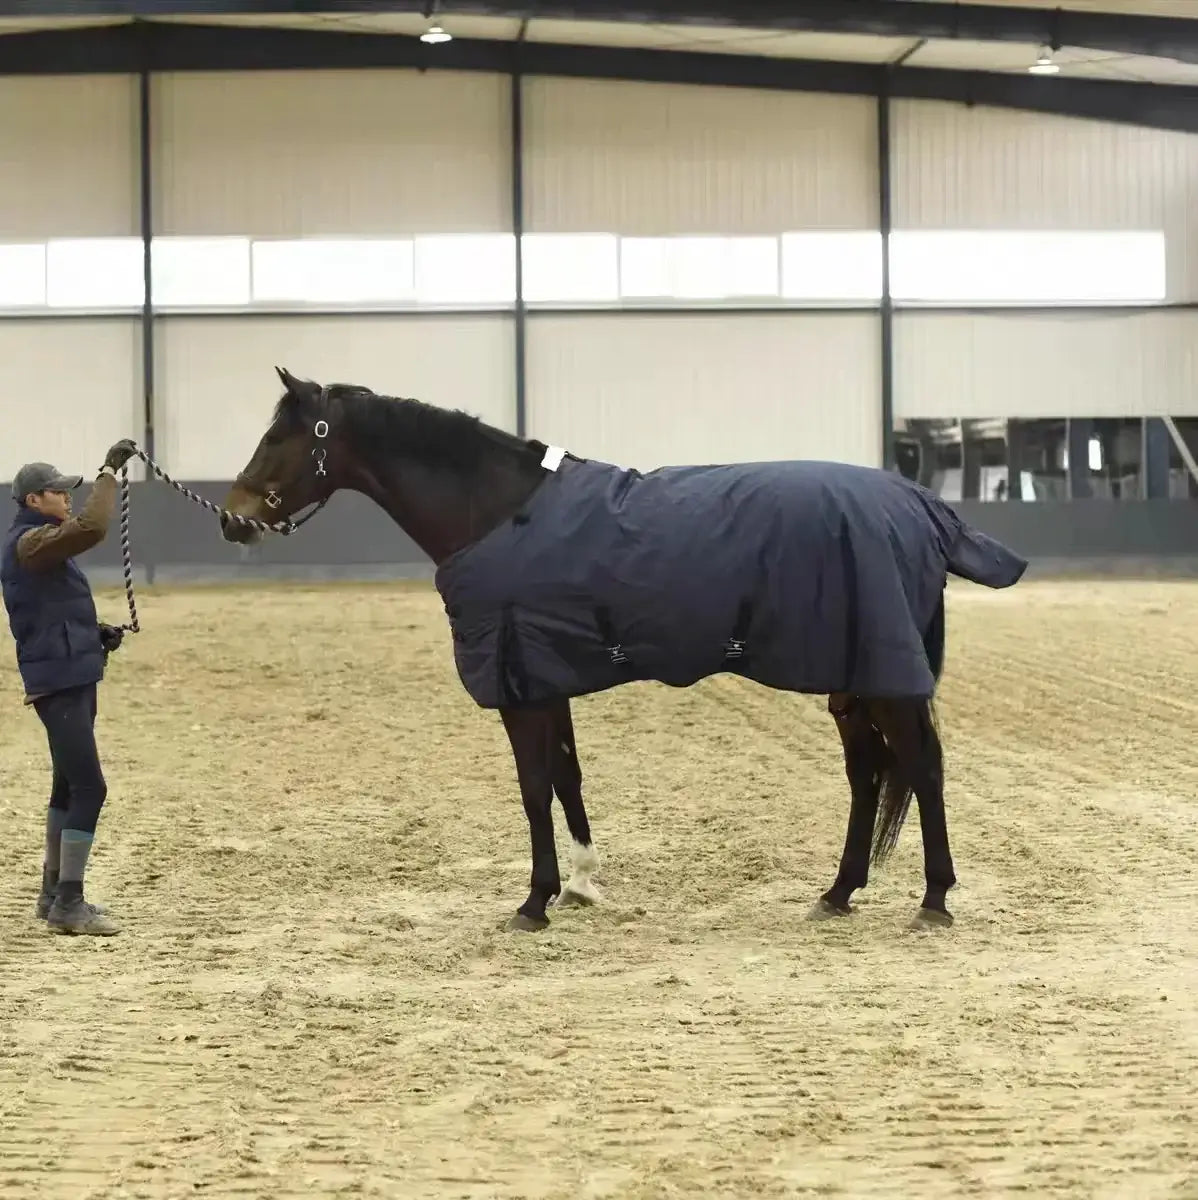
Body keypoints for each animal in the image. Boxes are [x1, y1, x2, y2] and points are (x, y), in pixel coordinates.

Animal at [219, 367, 1027, 934]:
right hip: (851, 678)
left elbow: (533, 788)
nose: (232, 519)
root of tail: (920, 504)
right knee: (868, 776)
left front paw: (535, 900)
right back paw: (837, 893)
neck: (498, 511)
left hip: (885, 679)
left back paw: (933, 900)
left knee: (922, 768)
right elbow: (566, 780)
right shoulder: (545, 677)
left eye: (281, 438)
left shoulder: (519, 685)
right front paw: (580, 883)